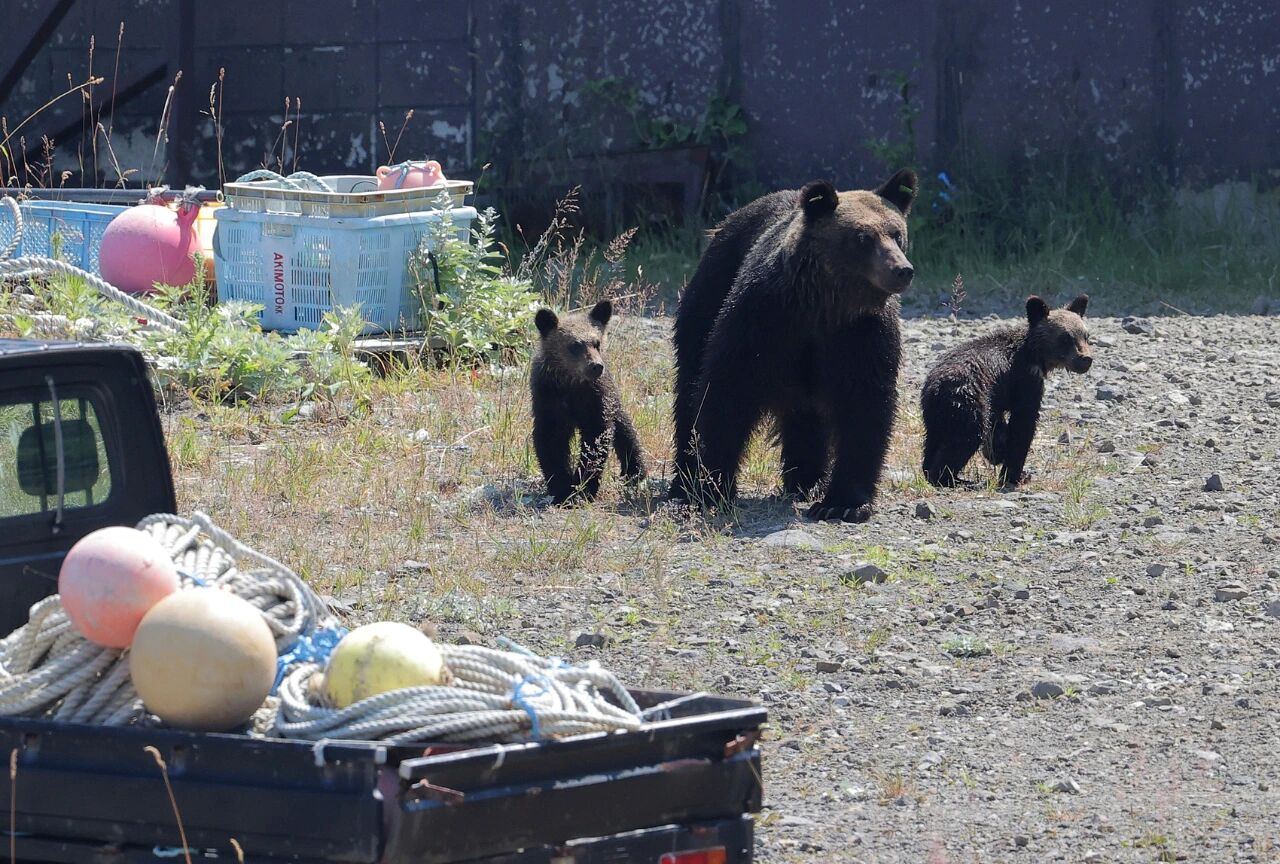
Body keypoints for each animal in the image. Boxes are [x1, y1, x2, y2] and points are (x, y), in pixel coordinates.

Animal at [530, 300, 647, 504]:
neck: (571, 385)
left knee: (625, 429)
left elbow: (596, 440)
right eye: (574, 345)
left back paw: (635, 471)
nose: (596, 366)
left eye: (596, 342)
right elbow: (550, 443)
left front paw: (584, 485)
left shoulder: (596, 401)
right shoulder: (548, 402)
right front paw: (562, 488)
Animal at [669, 169, 920, 522]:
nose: (902, 270)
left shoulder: (862, 334)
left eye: (897, 234)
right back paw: (682, 482)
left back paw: (806, 479)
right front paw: (712, 487)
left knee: (805, 414)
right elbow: (726, 392)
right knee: (690, 383)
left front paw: (843, 502)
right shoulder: (763, 318)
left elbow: (866, 405)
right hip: (709, 291)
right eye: (863, 238)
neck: (823, 307)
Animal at [920, 293, 1092, 489]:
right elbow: (1023, 425)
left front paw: (998, 454)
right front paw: (1014, 475)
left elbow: (998, 428)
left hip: (936, 414)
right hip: (966, 402)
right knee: (965, 438)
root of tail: (937, 388)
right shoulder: (1024, 381)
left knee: (934, 441)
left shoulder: (996, 397)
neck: (1035, 356)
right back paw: (956, 479)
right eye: (1065, 338)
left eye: (1086, 336)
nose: (1085, 359)